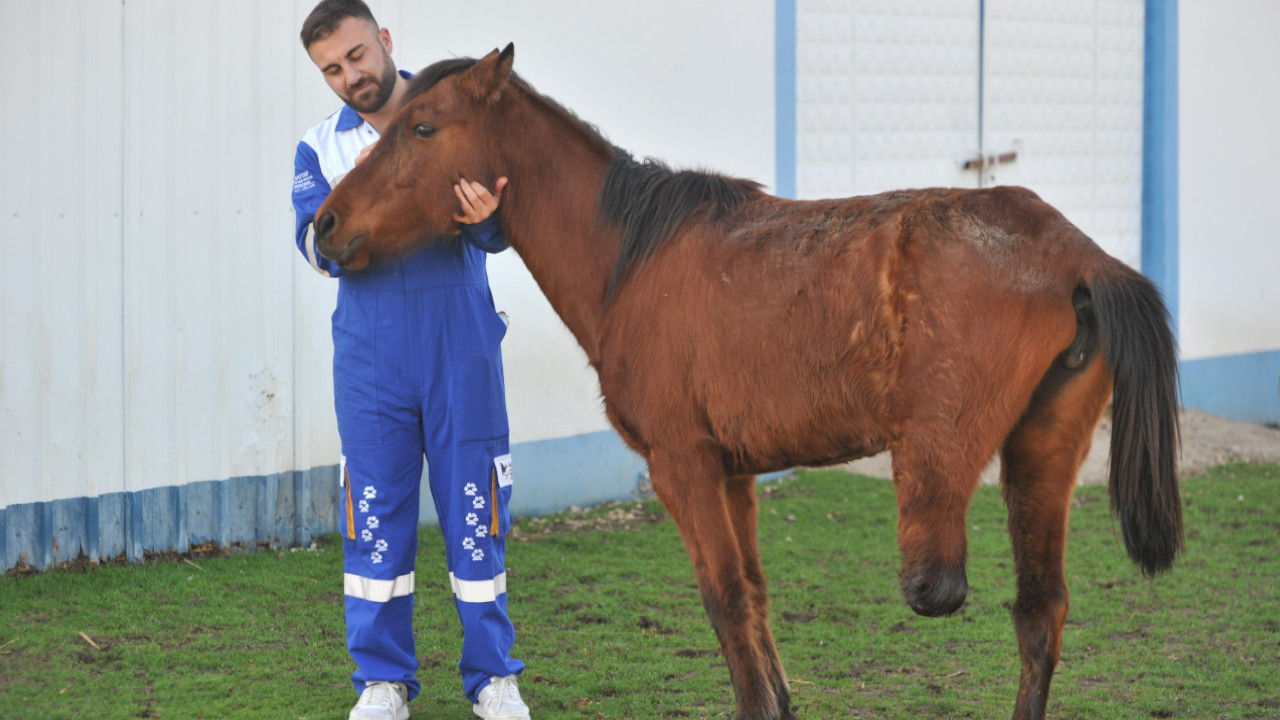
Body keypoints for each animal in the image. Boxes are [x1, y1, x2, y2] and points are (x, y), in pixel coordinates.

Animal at [314, 46, 1182, 717]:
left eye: (422, 128)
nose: (323, 225)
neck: (632, 257)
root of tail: (1073, 252)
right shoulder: (733, 474)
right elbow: (757, 596)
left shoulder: (685, 468)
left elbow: (725, 598)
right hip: (1042, 455)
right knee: (1040, 612)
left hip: (941, 472)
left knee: (952, 589)